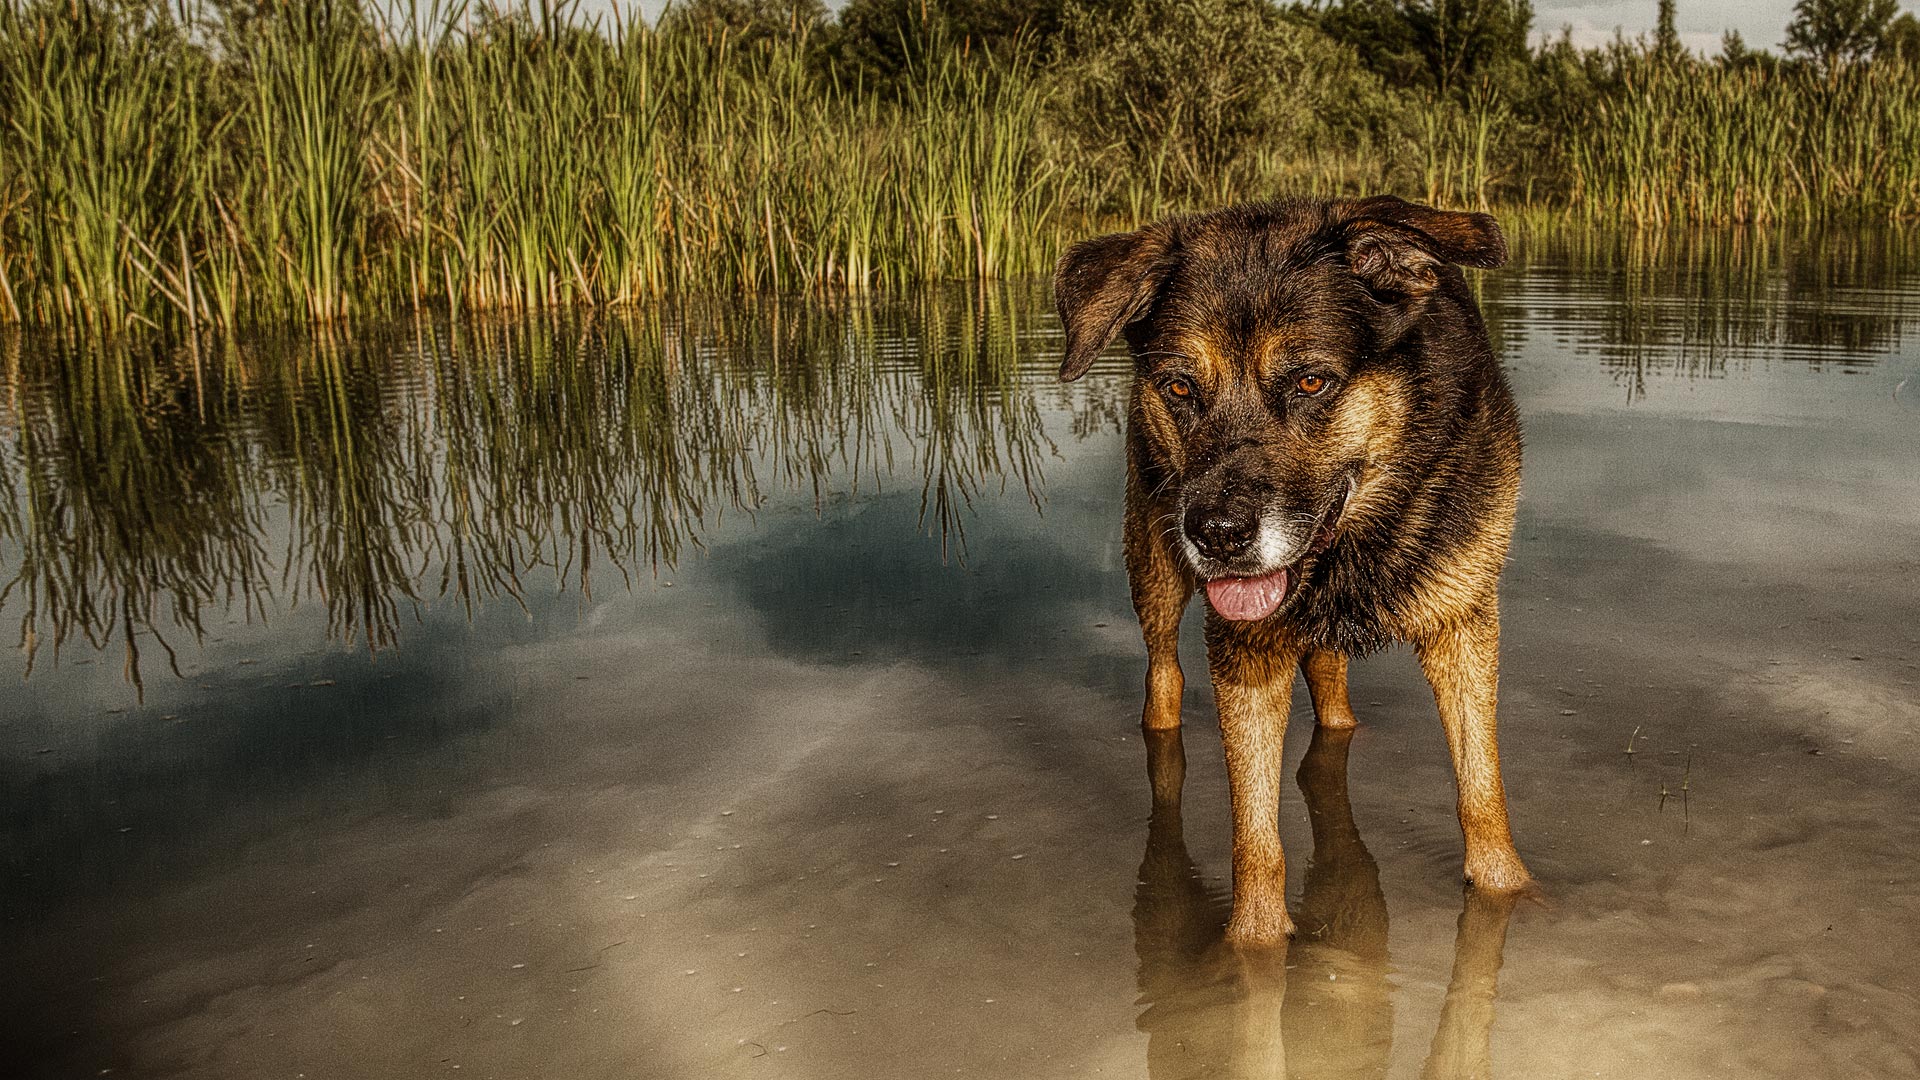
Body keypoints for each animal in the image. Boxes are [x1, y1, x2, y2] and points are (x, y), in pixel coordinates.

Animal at [1059, 193, 1536, 941]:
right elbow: (1256, 839)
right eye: (1179, 387)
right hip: (1154, 562)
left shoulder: (1463, 621)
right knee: (1163, 677)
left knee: (1330, 687)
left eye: (1311, 381)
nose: (1218, 535)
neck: (1356, 537)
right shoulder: (1246, 649)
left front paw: (1508, 892)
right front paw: (1254, 949)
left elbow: (1482, 791)